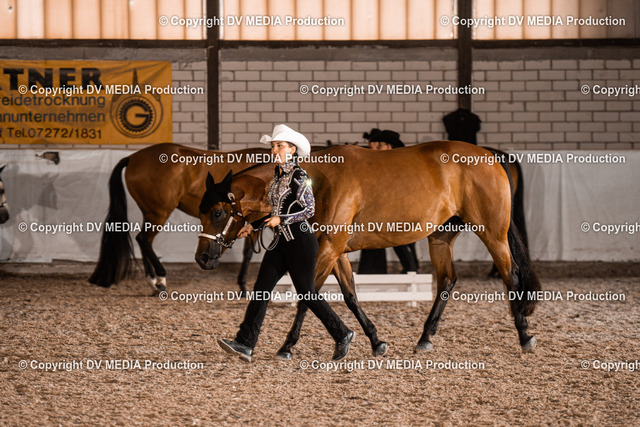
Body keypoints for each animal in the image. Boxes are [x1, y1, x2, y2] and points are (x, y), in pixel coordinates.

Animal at [89, 143, 268, 292]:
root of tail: (133, 157)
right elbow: (249, 252)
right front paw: (243, 285)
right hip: (159, 213)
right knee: (143, 238)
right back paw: (160, 279)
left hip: (150, 213)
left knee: (144, 240)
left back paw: (153, 282)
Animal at [194, 141, 541, 358]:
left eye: (218, 212)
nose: (202, 258)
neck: (317, 182)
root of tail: (492, 156)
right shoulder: (336, 251)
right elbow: (350, 296)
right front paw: (375, 341)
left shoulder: (329, 248)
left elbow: (308, 296)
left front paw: (287, 347)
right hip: (441, 237)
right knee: (447, 281)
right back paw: (424, 339)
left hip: (492, 233)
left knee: (511, 276)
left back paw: (525, 337)